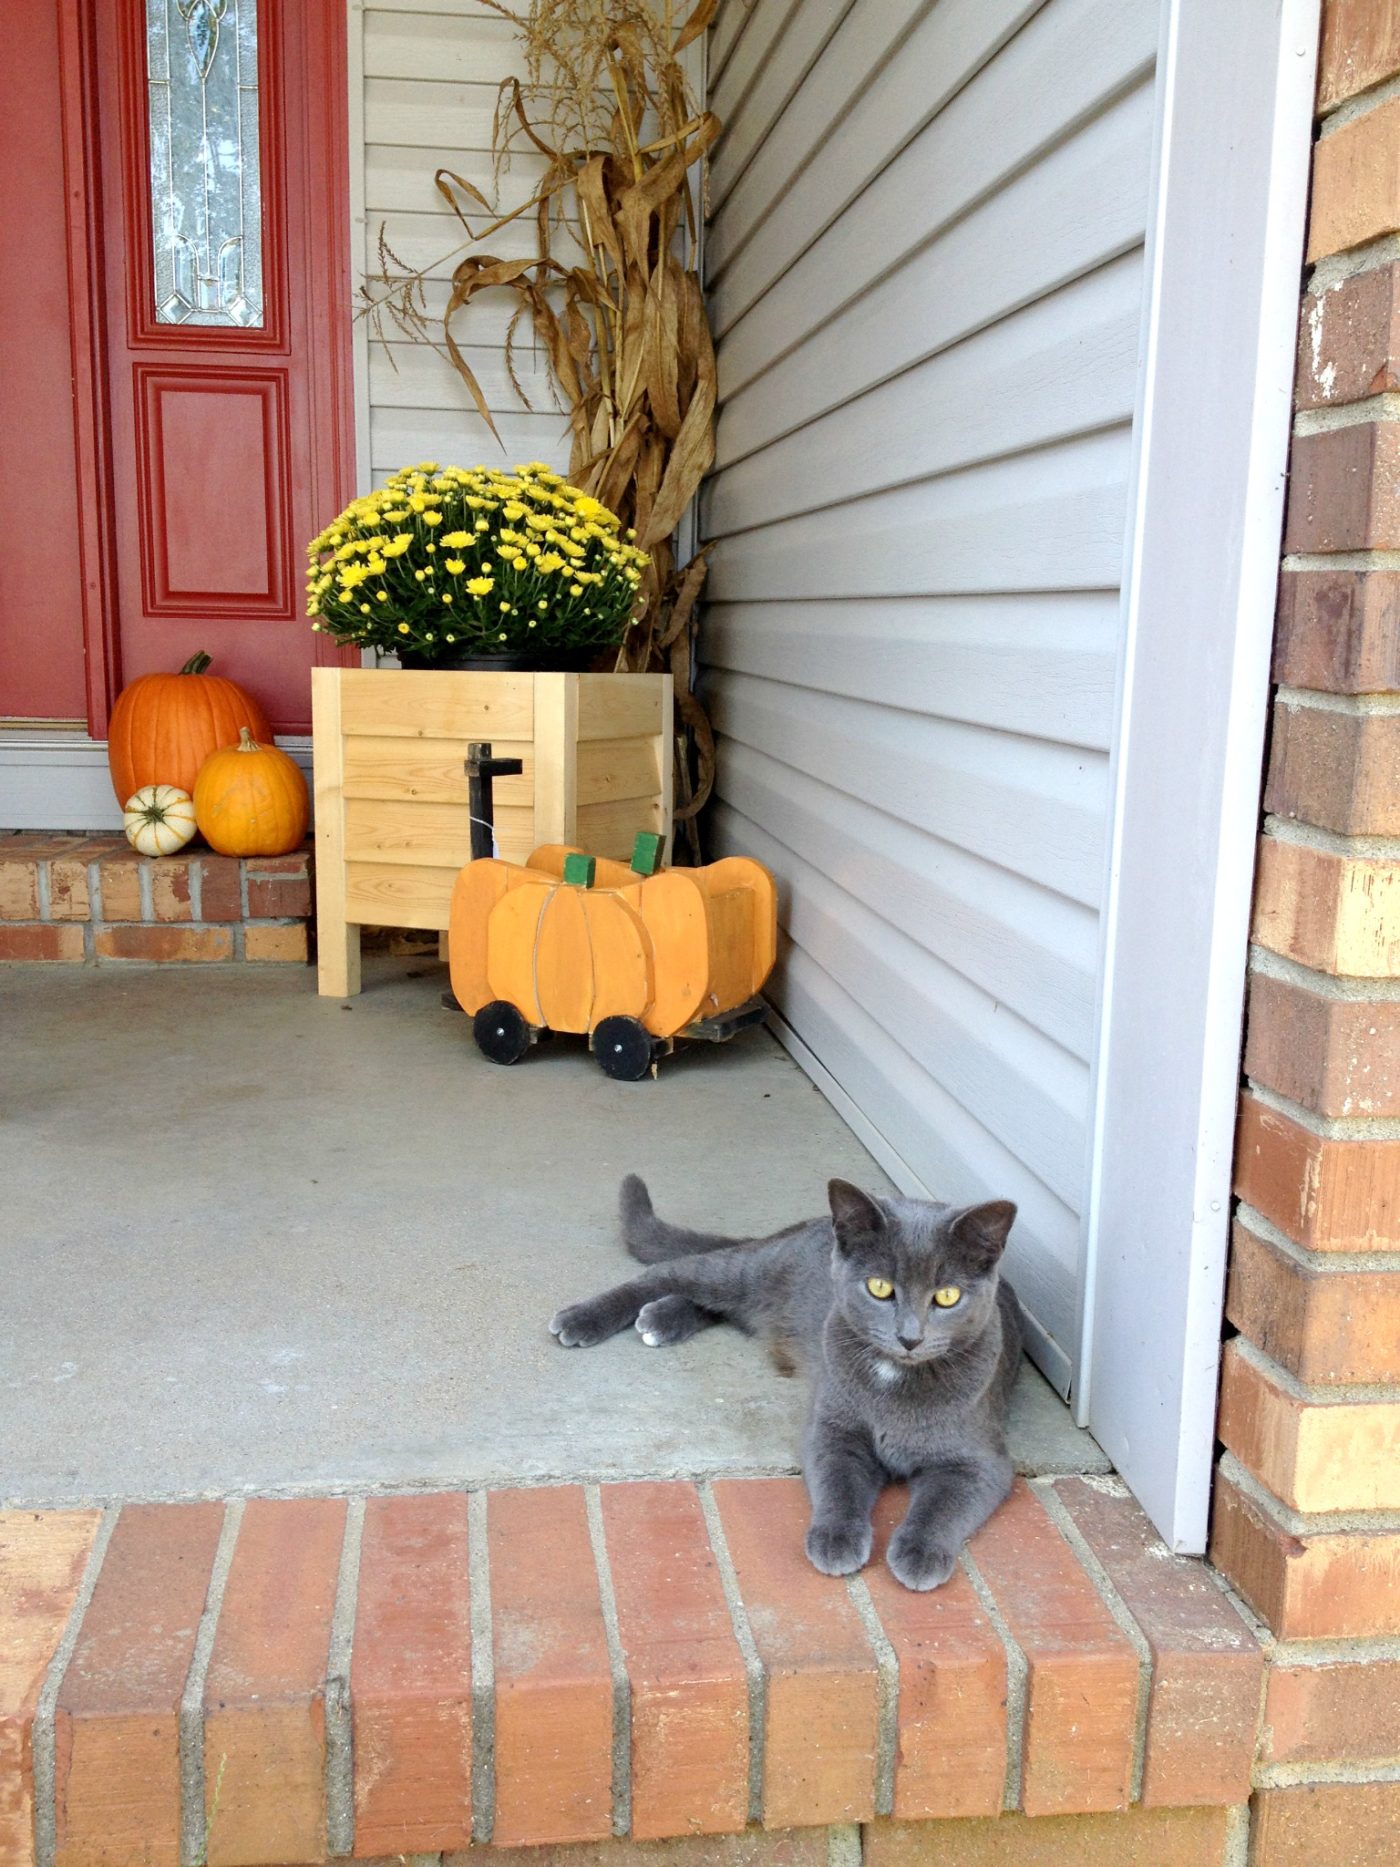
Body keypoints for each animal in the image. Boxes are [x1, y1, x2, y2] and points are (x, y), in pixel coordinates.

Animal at [552, 1172, 1022, 1583]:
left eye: (947, 1297)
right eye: (880, 1288)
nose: (910, 1337)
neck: (895, 1379)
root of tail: (800, 1227)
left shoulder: (979, 1460)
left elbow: (944, 1505)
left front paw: (920, 1553)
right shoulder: (832, 1427)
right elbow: (838, 1482)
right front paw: (836, 1539)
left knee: (715, 1305)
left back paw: (660, 1320)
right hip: (747, 1270)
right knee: (668, 1272)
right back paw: (583, 1318)